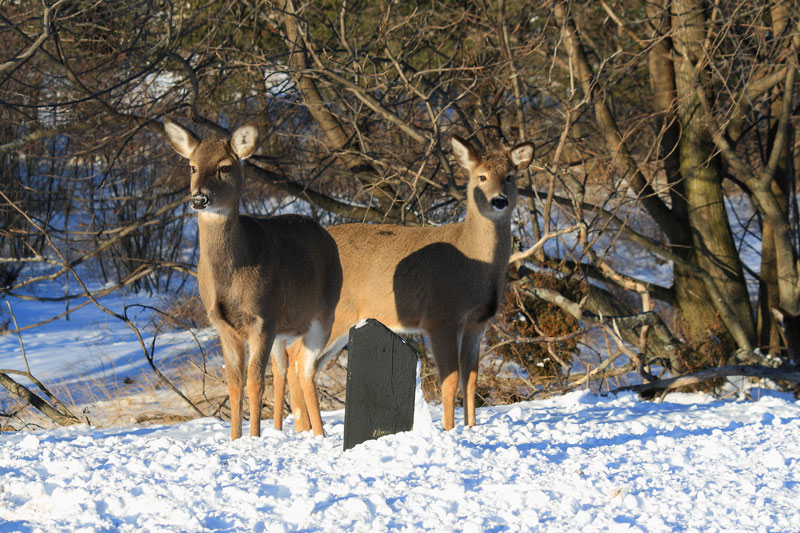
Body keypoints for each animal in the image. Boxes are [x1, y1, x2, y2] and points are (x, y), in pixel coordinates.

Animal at [164, 118, 342, 438]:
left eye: (224, 166)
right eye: (192, 166)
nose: (199, 198)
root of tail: (322, 230)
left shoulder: (263, 316)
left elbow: (255, 381)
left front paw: (254, 437)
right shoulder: (222, 323)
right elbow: (235, 383)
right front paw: (236, 439)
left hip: (324, 314)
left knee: (306, 369)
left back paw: (319, 434)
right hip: (284, 329)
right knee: (285, 368)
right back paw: (282, 430)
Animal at [284, 135, 536, 434]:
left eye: (510, 176)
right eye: (482, 176)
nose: (499, 200)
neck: (473, 263)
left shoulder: (477, 323)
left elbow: (470, 379)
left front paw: (471, 428)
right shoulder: (440, 317)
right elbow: (450, 380)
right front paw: (449, 431)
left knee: (298, 358)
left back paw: (306, 429)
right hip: (334, 314)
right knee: (302, 360)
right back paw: (318, 432)